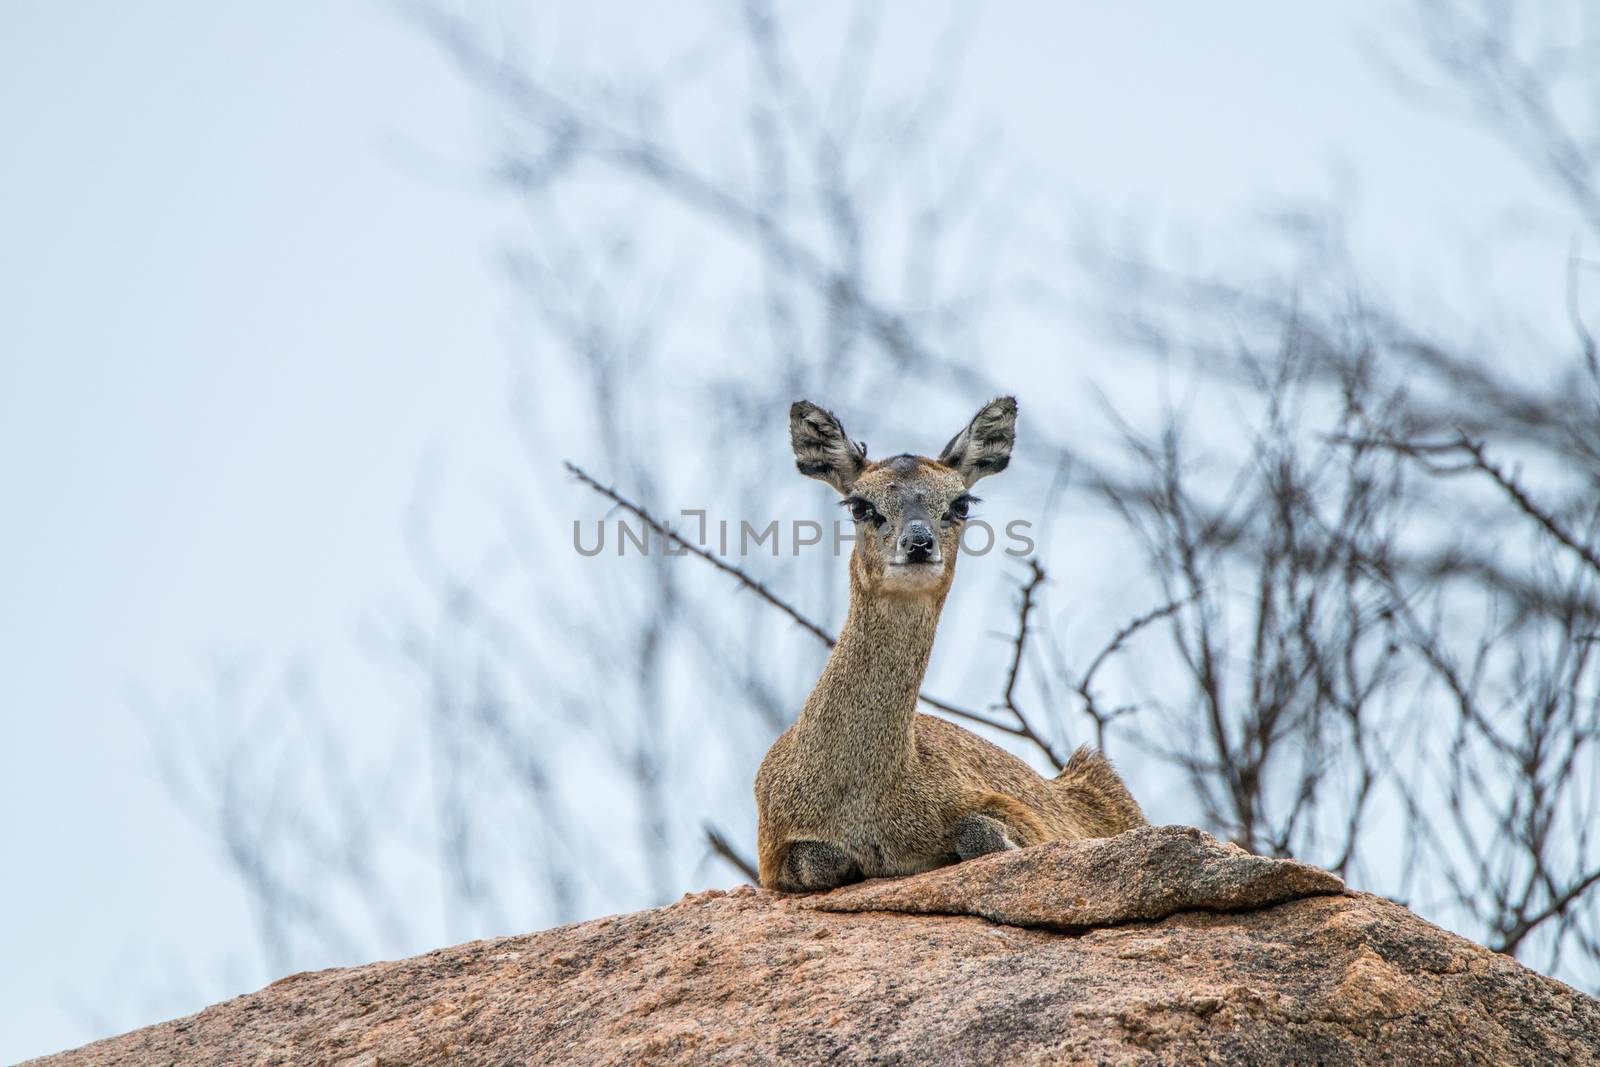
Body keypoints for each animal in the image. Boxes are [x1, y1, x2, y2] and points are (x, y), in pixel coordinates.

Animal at [755, 398, 1145, 895]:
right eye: (859, 505)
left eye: (961, 503)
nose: (918, 543)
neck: (863, 794)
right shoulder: (773, 853)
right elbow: (817, 861)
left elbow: (978, 831)